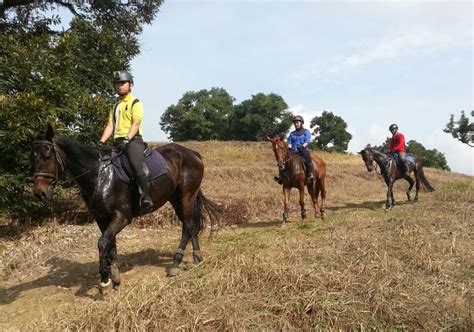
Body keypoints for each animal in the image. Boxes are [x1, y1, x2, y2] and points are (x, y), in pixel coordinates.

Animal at [31, 125, 220, 294]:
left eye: (47, 155)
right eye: (33, 157)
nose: (40, 193)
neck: (99, 175)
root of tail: (193, 154)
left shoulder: (122, 217)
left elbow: (102, 243)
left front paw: (105, 282)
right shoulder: (102, 218)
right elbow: (110, 245)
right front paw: (115, 278)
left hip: (187, 196)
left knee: (188, 226)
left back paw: (175, 264)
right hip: (176, 198)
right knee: (191, 225)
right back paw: (197, 258)